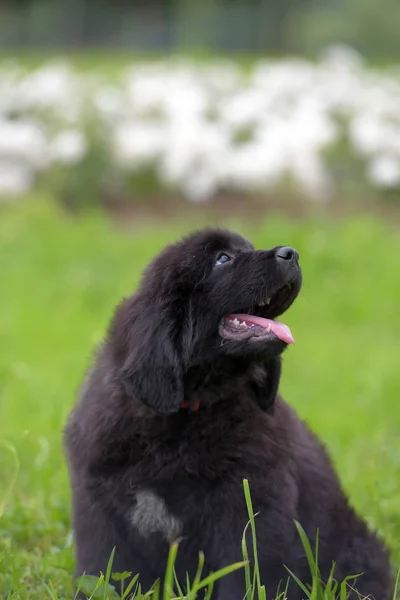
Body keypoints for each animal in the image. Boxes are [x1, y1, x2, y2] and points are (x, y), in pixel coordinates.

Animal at [65, 227, 390, 596]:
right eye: (223, 259)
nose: (291, 253)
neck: (187, 413)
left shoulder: (250, 505)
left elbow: (245, 573)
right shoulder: (98, 504)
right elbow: (103, 568)